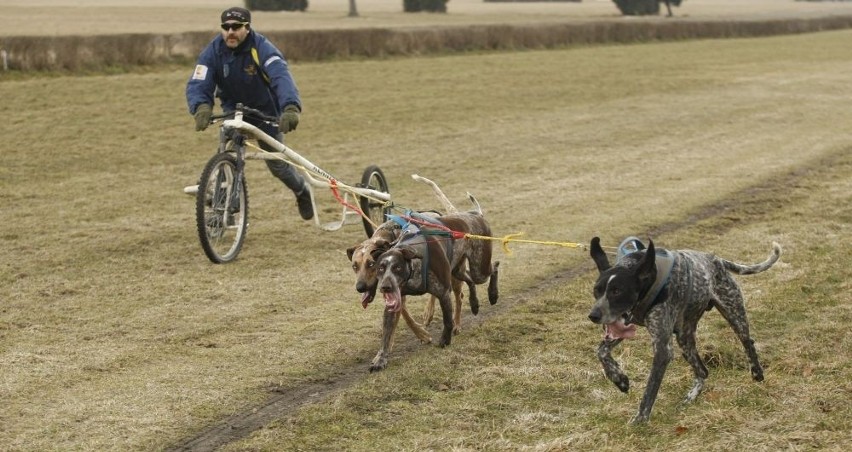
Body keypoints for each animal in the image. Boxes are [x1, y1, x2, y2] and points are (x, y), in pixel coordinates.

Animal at [588, 237, 784, 424]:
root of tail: (716, 260)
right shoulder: (627, 323)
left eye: (617, 291)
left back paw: (757, 373)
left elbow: (650, 390)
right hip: (684, 339)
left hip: (734, 315)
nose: (593, 315)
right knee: (703, 371)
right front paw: (618, 378)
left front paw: (640, 420)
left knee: (747, 343)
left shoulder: (662, 350)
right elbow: (601, 351)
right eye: (596, 290)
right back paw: (691, 396)